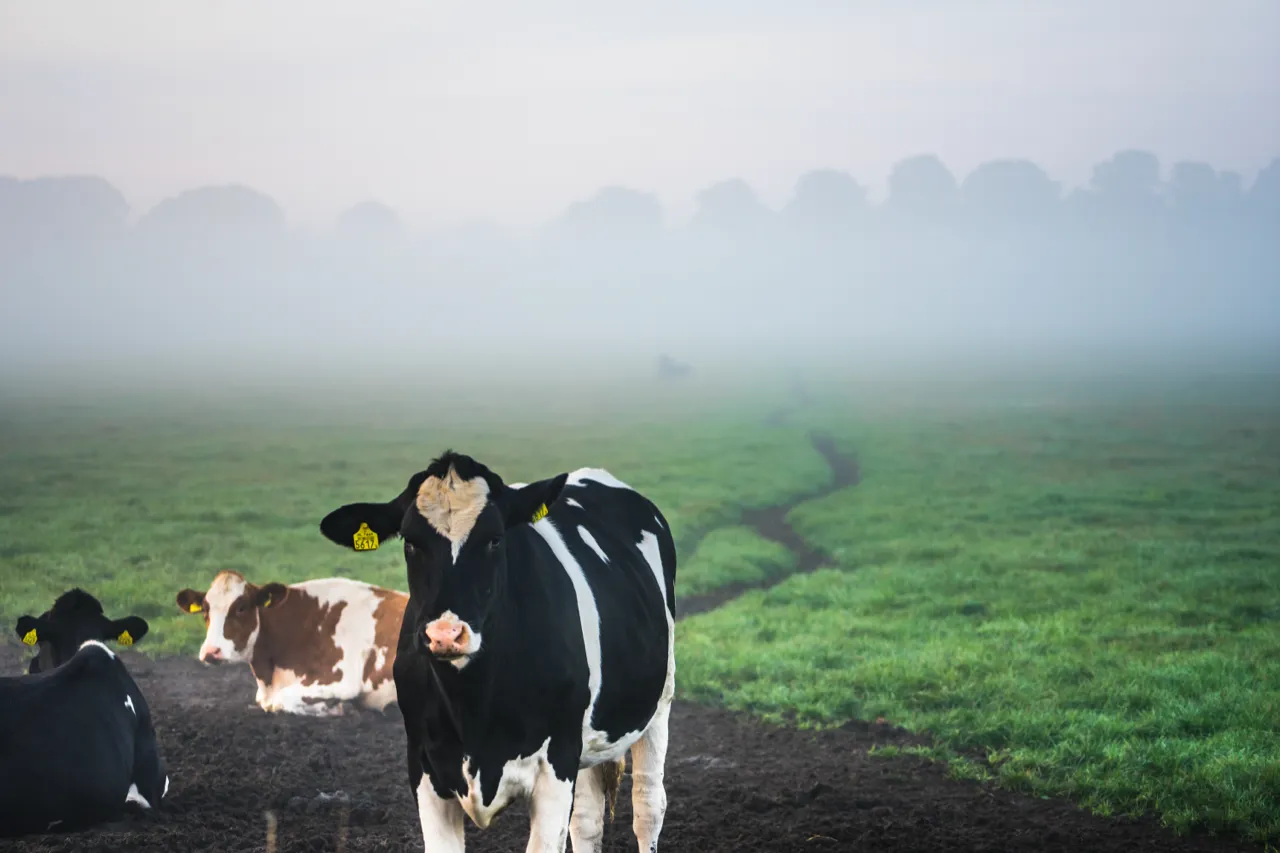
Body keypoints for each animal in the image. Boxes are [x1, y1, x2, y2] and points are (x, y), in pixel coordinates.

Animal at [174, 571, 408, 717]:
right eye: (205, 610)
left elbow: (279, 700)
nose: (211, 652)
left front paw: (334, 709)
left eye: (241, 608)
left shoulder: (342, 680)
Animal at [317, 450, 676, 853]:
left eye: (494, 539)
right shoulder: (424, 767)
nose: (446, 634)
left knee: (648, 805)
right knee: (587, 821)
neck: (473, 709)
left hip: (658, 700)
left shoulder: (557, 762)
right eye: (410, 542)